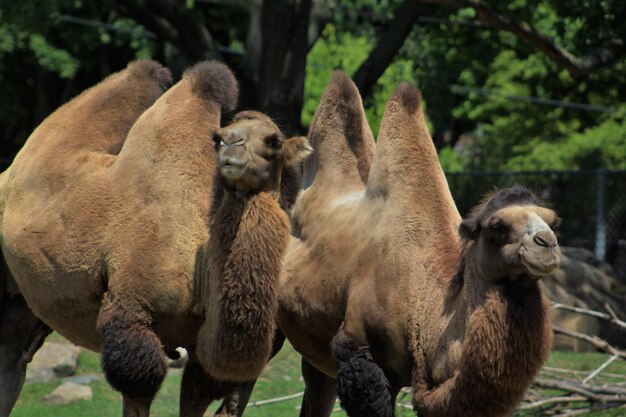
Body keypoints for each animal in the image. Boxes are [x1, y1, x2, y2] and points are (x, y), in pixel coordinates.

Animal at [0, 58, 302, 416]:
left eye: (274, 141)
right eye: (218, 137)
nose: (231, 143)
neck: (201, 267)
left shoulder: (207, 352)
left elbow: (208, 397)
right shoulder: (131, 316)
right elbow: (138, 383)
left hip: (23, 304)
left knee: (12, 358)